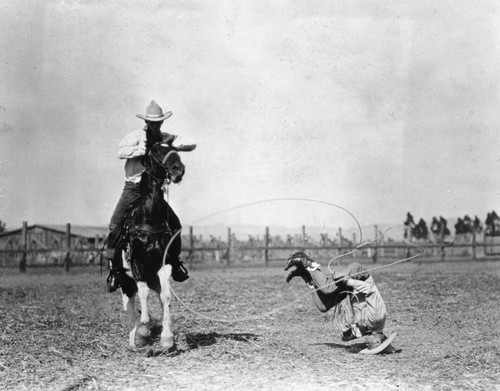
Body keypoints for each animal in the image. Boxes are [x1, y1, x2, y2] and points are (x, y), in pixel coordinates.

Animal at [119, 142, 195, 352]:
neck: (149, 218)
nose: (178, 169)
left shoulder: (165, 263)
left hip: (153, 277)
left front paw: (167, 339)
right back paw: (134, 340)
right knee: (130, 308)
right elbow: (143, 293)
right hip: (125, 282)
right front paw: (144, 329)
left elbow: (166, 297)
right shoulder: (137, 263)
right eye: (154, 151)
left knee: (160, 295)